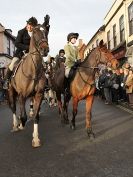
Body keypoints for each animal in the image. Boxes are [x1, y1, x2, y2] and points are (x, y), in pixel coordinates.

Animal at [7, 14, 50, 147]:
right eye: (35, 32)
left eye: (46, 31)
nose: (45, 49)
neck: (33, 69)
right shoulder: (21, 95)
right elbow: (23, 116)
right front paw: (21, 124)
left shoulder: (38, 94)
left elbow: (36, 116)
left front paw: (35, 139)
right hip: (11, 92)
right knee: (13, 108)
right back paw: (16, 125)